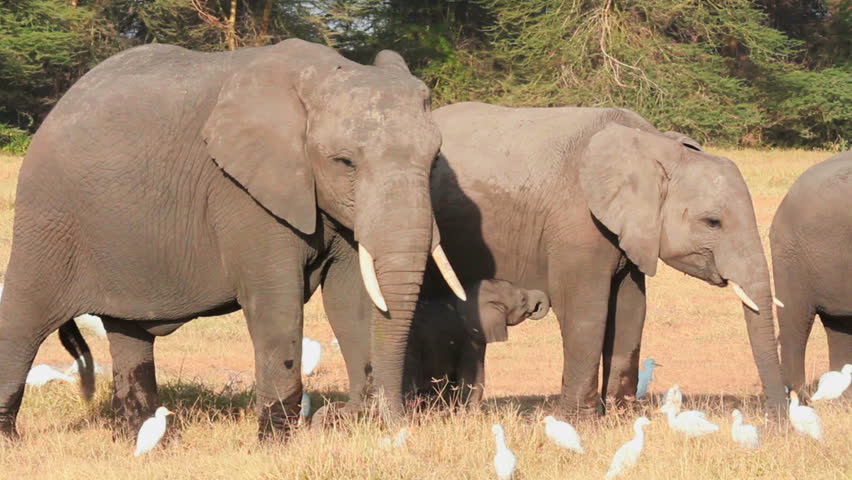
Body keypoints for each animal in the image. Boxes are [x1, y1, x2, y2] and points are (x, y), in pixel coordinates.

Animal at [0, 39, 466, 440]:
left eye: (434, 161)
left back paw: (147, 439)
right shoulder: (240, 192)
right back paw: (12, 440)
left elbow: (351, 298)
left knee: (128, 334)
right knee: (24, 319)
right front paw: (278, 442)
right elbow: (276, 301)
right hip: (49, 216)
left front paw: (353, 425)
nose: (391, 424)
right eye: (345, 162)